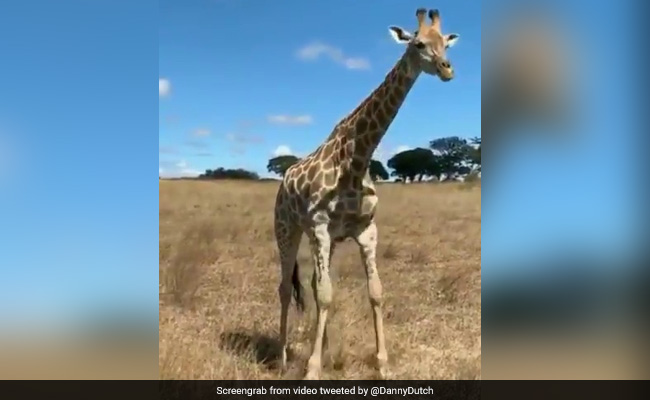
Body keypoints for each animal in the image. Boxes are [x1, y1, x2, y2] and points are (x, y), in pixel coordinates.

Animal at [273, 8, 461, 380]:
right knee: (286, 287)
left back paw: (326, 351)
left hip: (325, 239)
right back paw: (284, 358)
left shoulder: (365, 230)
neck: (357, 160)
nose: (447, 69)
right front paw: (311, 370)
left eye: (446, 43)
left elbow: (373, 292)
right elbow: (325, 294)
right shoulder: (318, 226)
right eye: (418, 44)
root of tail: (284, 178)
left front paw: (382, 364)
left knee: (313, 285)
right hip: (287, 228)